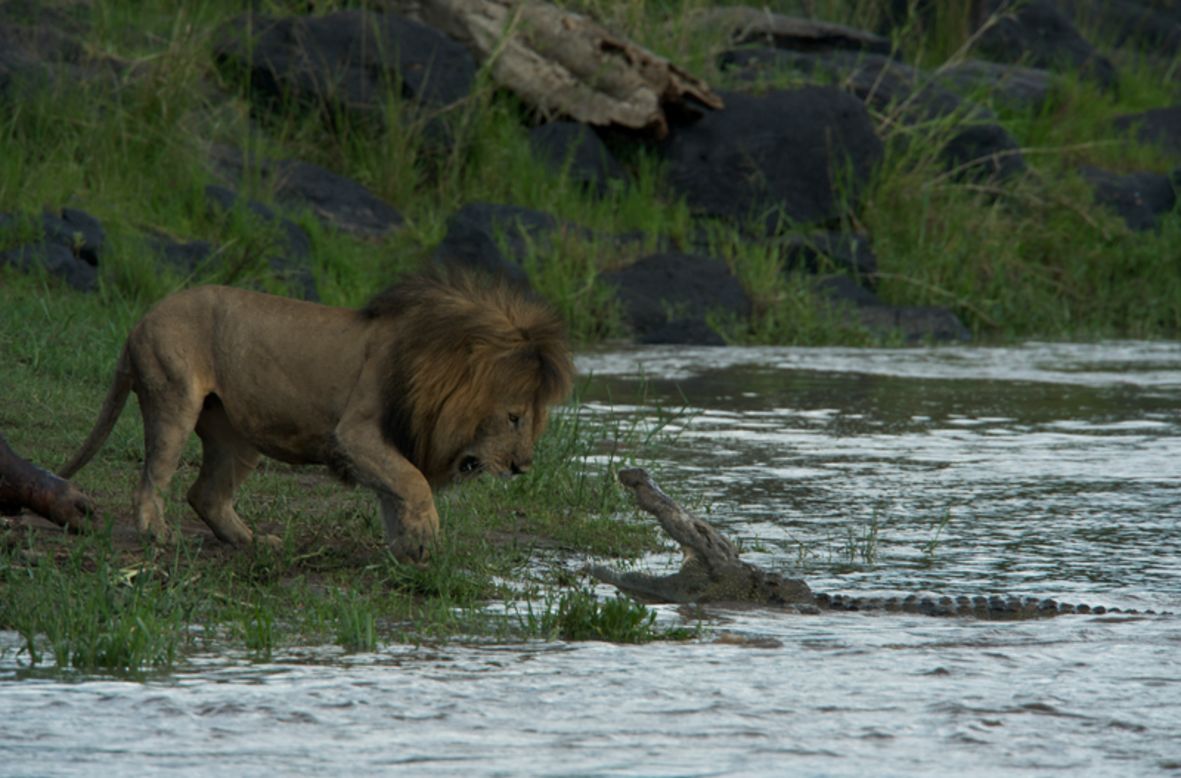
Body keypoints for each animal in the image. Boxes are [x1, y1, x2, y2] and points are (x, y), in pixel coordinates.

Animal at [61, 272, 576, 559]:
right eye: (513, 418)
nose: (521, 467)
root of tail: (139, 323)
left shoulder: (380, 446)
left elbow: (394, 495)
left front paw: (408, 548)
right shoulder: (353, 434)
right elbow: (413, 483)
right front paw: (427, 537)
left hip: (235, 437)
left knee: (204, 494)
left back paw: (253, 544)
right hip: (173, 397)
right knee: (152, 479)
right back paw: (159, 537)